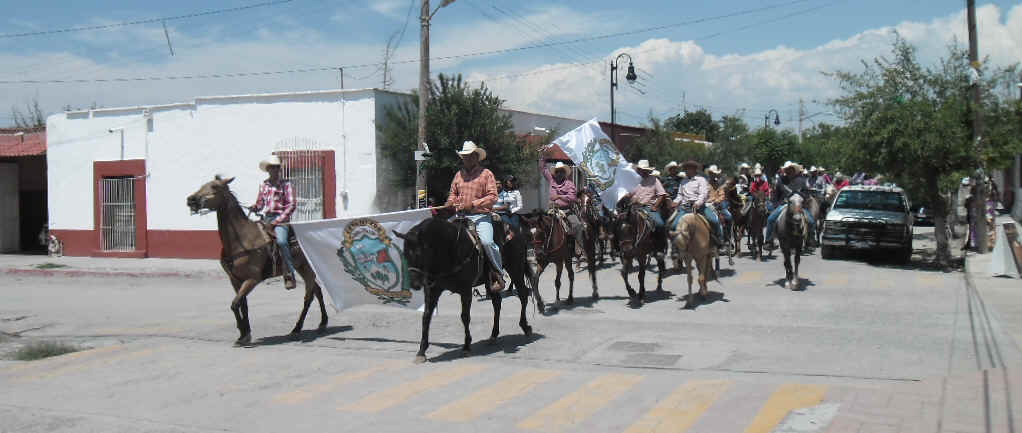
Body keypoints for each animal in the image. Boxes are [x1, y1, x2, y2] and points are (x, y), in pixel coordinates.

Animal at [186, 174, 324, 347]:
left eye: (215, 187)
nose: (190, 200)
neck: (240, 240)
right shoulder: (235, 280)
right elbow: (242, 305)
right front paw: (244, 334)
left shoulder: (252, 279)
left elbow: (235, 304)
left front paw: (244, 334)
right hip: (302, 268)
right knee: (317, 291)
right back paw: (323, 322)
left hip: (307, 268)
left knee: (309, 297)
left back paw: (296, 328)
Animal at [390, 214, 535, 363]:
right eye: (404, 254)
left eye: (419, 253)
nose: (415, 284)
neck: (450, 249)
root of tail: (516, 231)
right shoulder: (432, 290)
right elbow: (426, 316)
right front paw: (421, 351)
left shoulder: (465, 291)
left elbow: (465, 317)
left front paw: (466, 346)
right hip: (491, 281)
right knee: (497, 303)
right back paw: (494, 335)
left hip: (515, 269)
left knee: (523, 294)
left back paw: (525, 327)